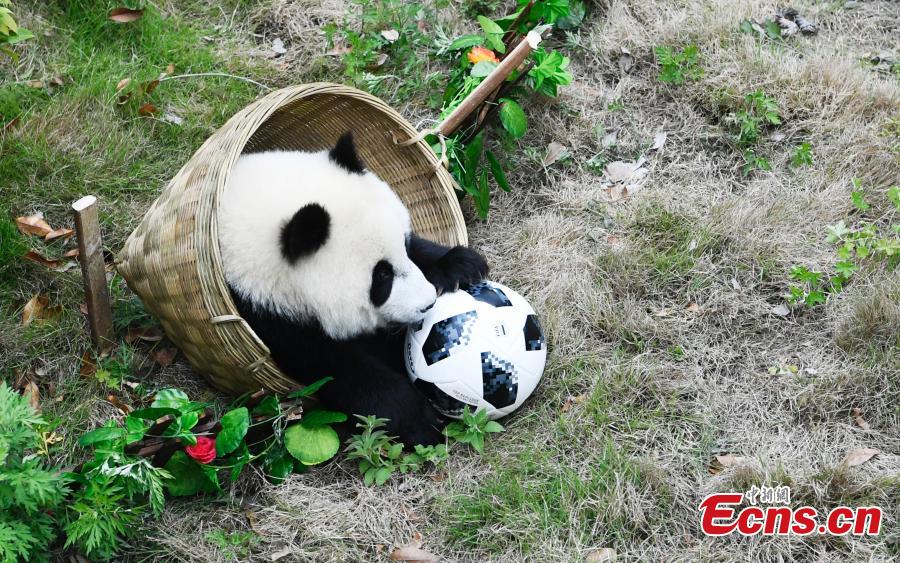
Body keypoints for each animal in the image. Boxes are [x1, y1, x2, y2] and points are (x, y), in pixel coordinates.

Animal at [218, 132, 488, 446]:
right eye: (381, 277)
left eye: (405, 244)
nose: (429, 303)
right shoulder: (266, 316)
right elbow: (335, 369)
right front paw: (421, 421)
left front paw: (462, 266)